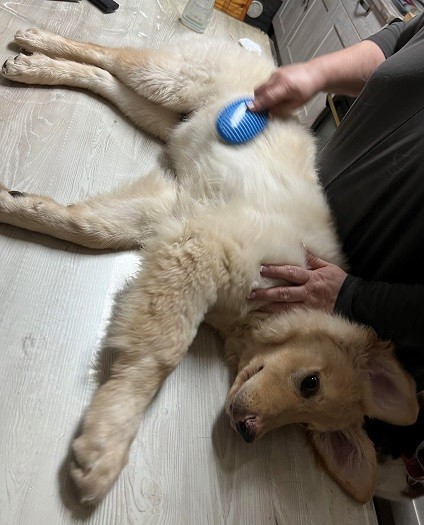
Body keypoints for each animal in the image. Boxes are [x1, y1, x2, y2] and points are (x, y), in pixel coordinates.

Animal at [0, 28, 418, 504]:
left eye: (304, 424)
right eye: (310, 383)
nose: (247, 431)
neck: (264, 313)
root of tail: (269, 64)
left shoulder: (175, 215)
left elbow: (86, 226)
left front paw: (13, 205)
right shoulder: (200, 250)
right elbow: (162, 350)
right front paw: (107, 441)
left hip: (165, 116)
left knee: (106, 80)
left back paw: (34, 65)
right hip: (170, 79)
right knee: (109, 55)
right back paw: (35, 43)